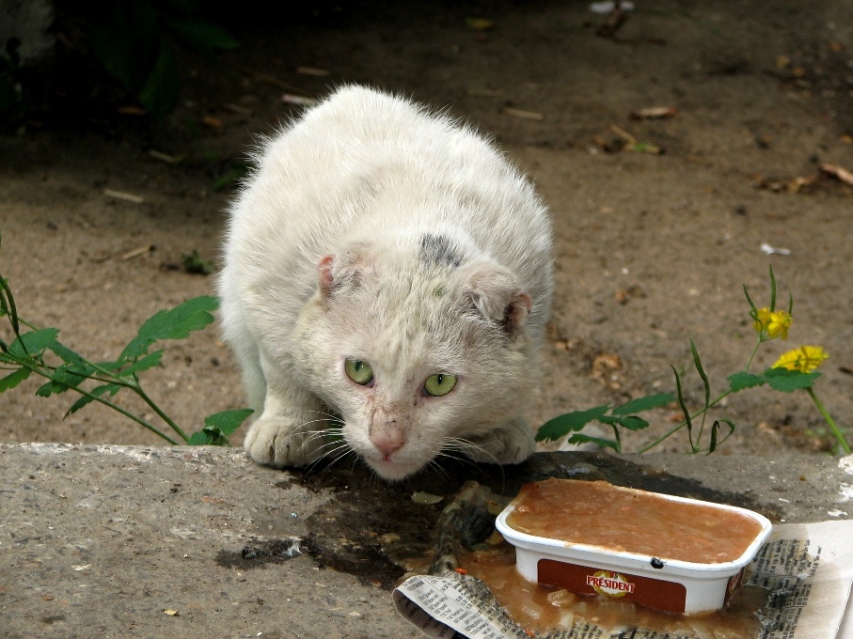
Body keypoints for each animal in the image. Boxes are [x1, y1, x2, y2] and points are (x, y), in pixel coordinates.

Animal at [220, 87, 552, 482]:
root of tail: (351, 93)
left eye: (440, 382)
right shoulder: (265, 299)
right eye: (357, 370)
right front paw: (289, 430)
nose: (387, 441)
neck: (421, 215)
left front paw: (501, 430)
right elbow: (286, 376)